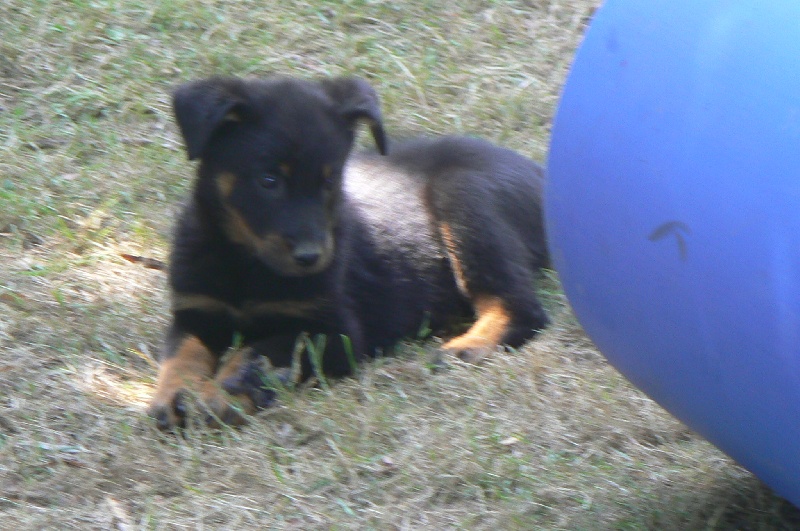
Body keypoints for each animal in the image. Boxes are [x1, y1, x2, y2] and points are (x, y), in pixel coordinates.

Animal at [147, 76, 550, 430]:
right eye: (269, 180)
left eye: (329, 181)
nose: (311, 258)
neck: (245, 263)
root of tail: (539, 172)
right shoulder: (196, 312)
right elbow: (182, 354)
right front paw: (174, 395)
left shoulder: (337, 333)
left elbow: (259, 351)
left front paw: (221, 394)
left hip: (464, 198)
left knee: (520, 309)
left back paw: (466, 347)